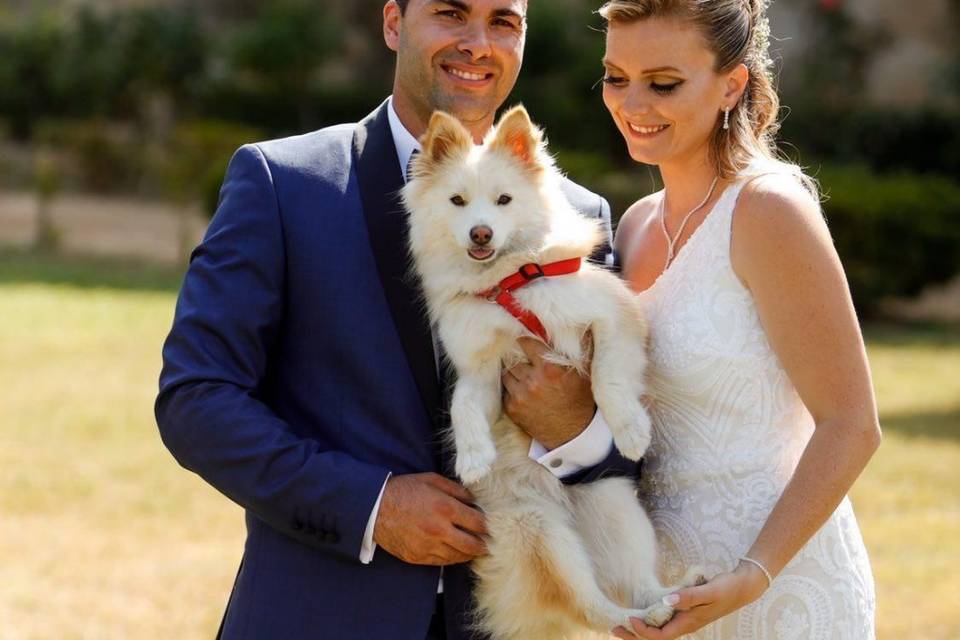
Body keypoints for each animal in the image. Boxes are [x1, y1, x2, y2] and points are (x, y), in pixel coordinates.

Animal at [402, 107, 700, 636]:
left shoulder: (613, 319)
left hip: (618, 511)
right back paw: (648, 610)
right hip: (538, 533)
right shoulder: (482, 370)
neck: (507, 283)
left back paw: (667, 601)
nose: (480, 233)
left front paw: (630, 433)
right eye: (457, 202)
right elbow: (463, 407)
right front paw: (474, 458)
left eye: (504, 200)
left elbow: (606, 377)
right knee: (592, 605)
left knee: (628, 589)